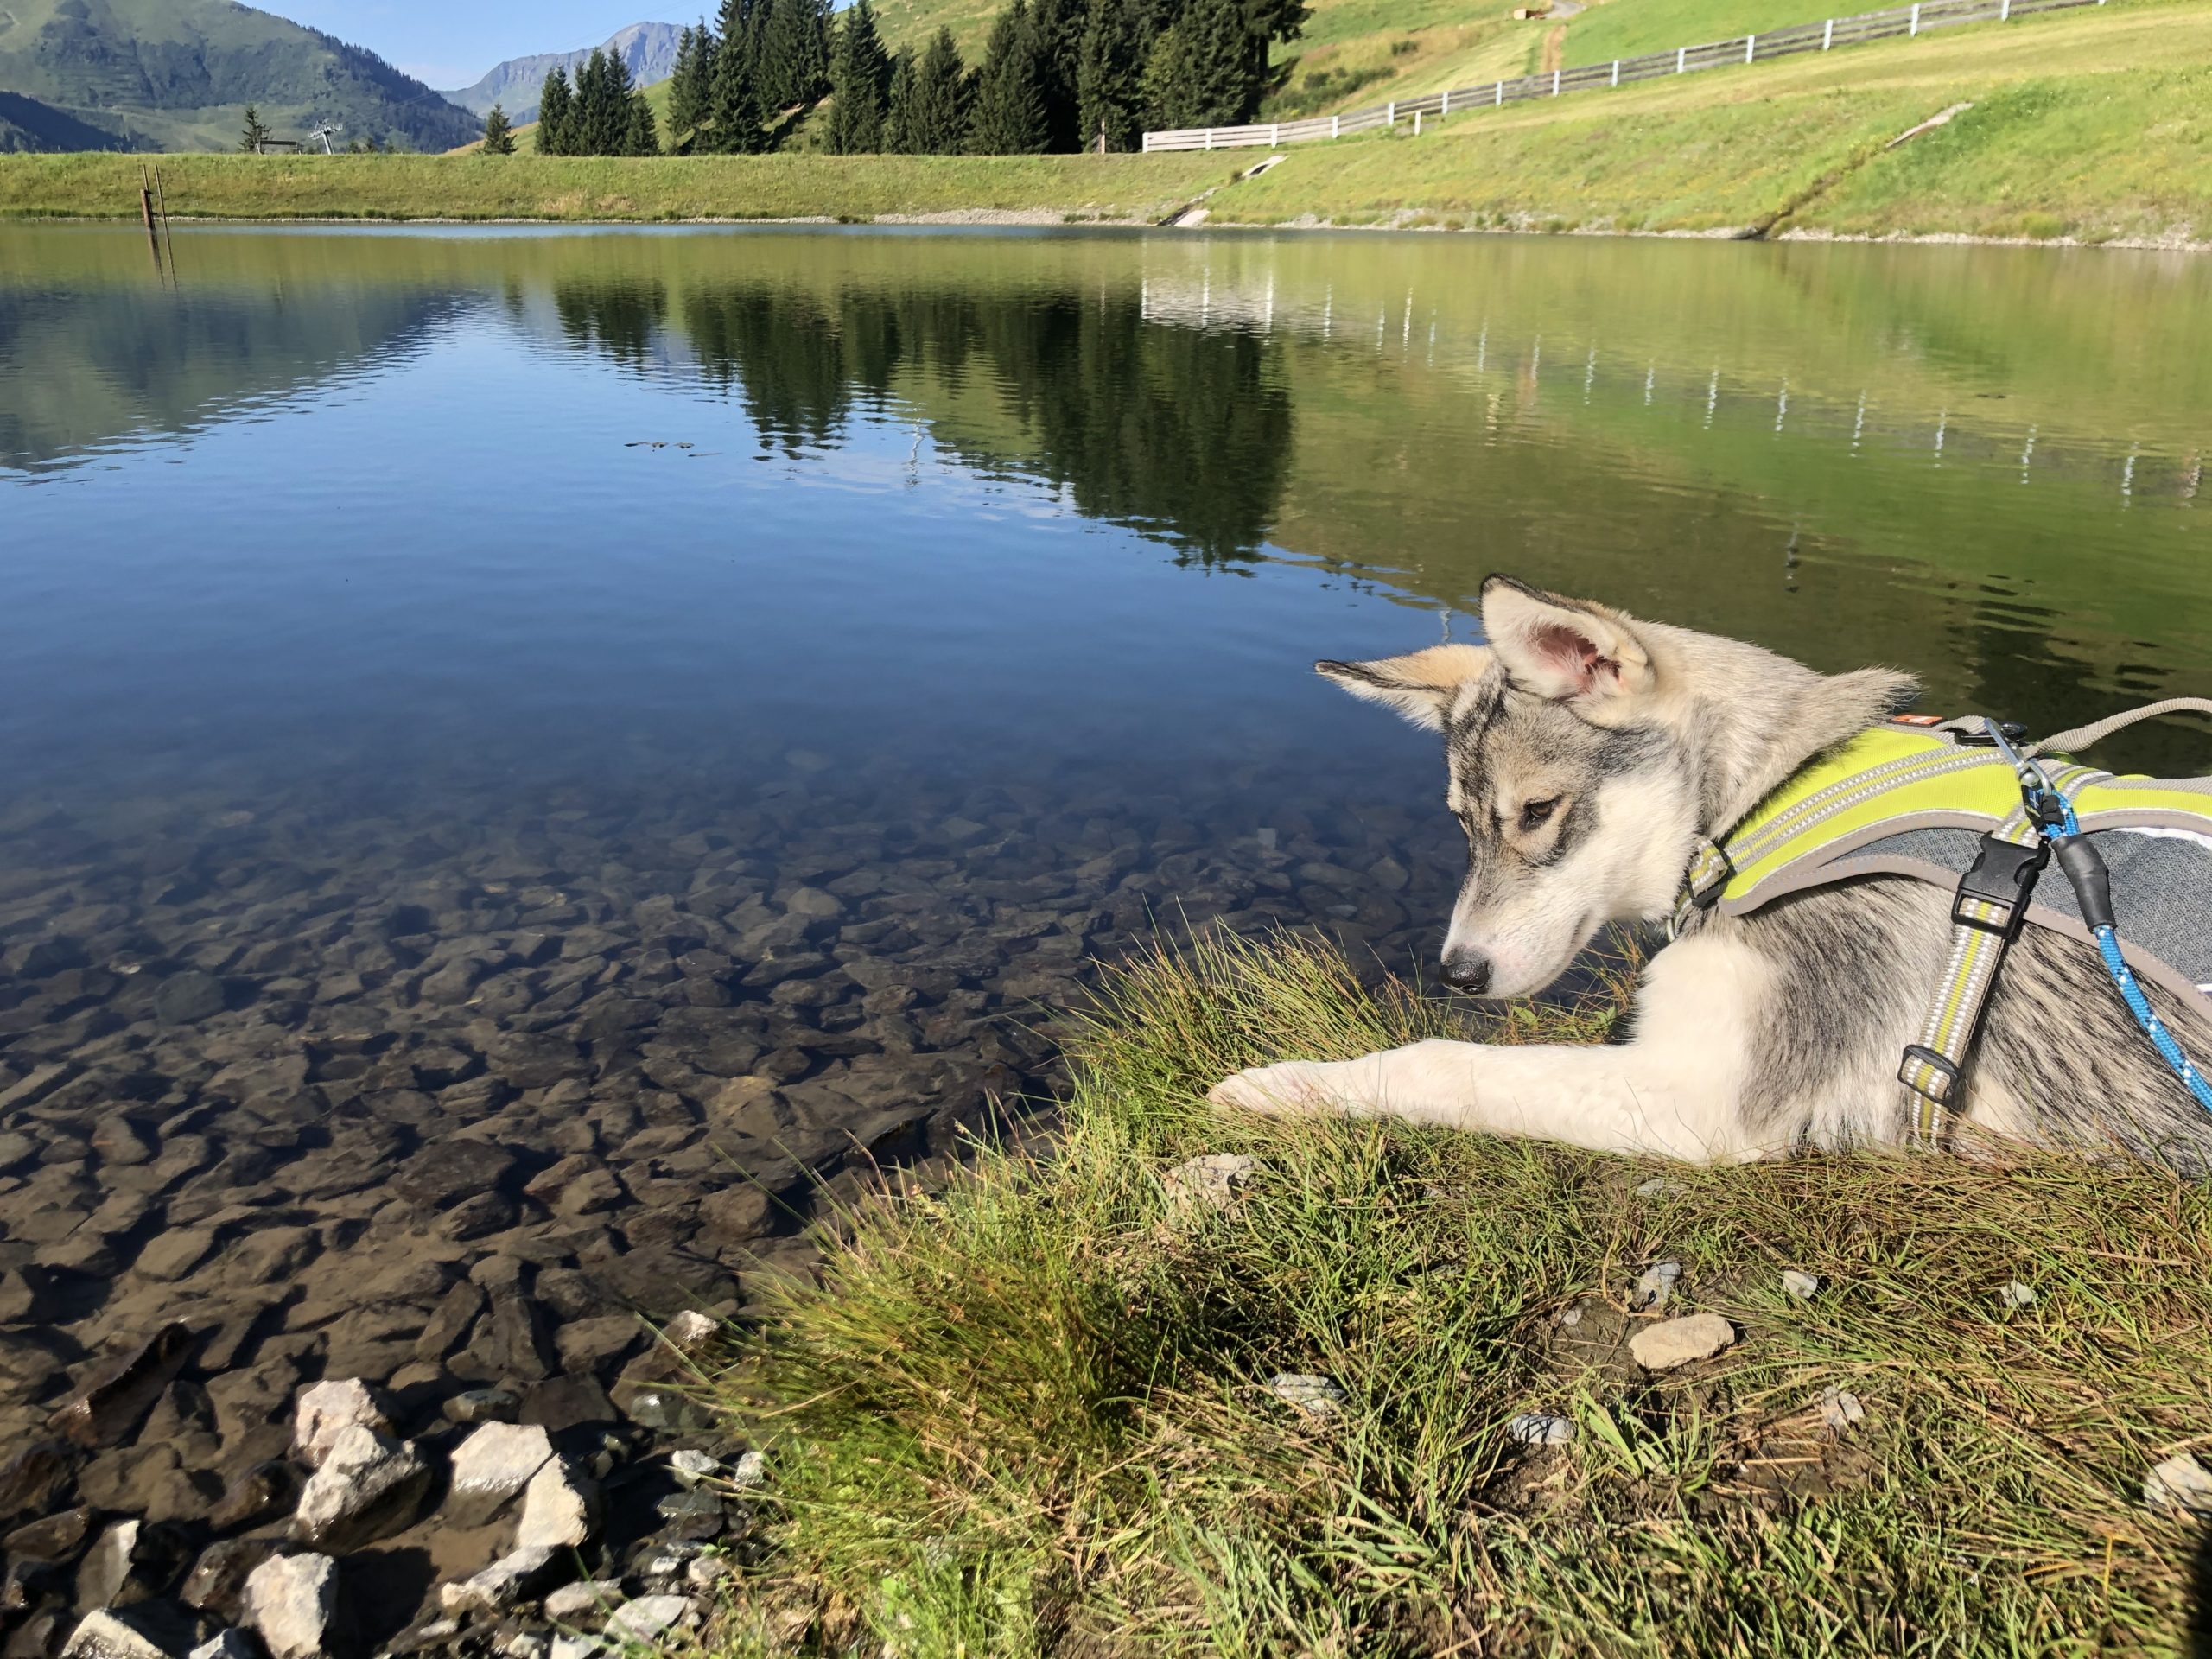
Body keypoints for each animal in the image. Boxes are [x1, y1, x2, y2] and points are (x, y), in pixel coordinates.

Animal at [1211, 579, 2212, 1167]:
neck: (1755, 805)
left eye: (1536, 811)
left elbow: (1445, 1062)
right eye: (1460, 823)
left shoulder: (1707, 1102)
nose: (1457, 973)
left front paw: (1295, 1085)